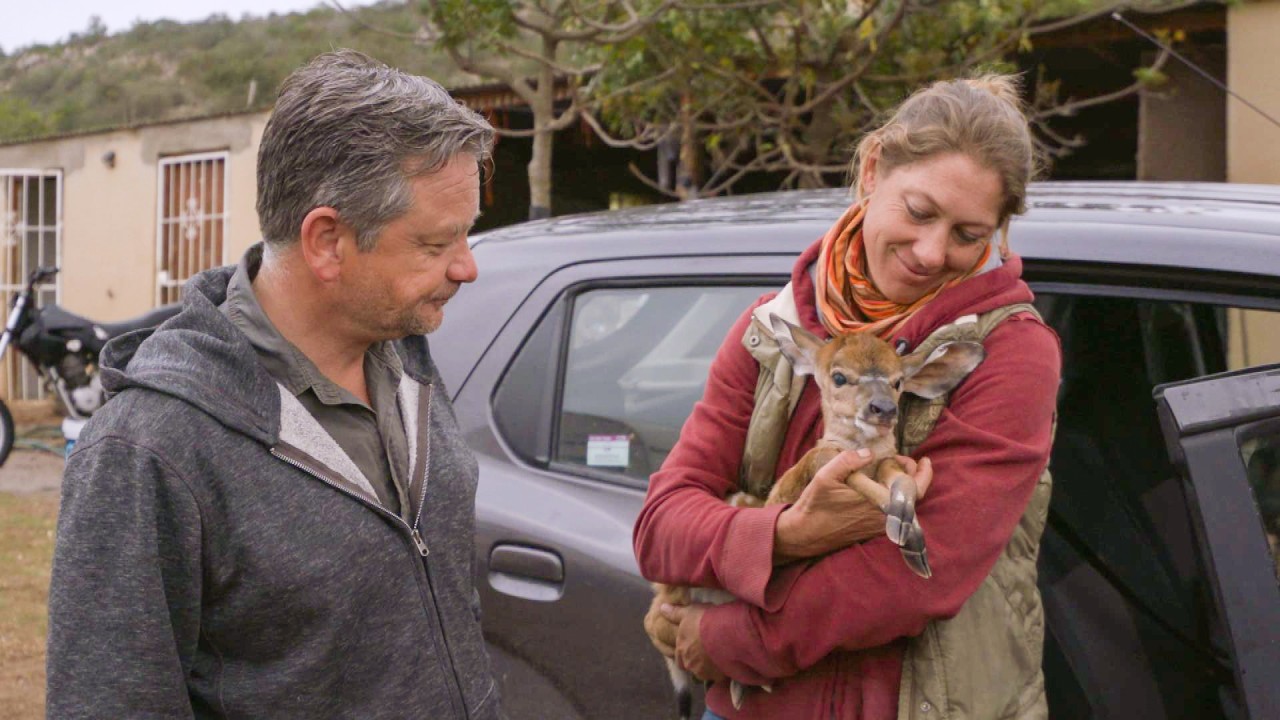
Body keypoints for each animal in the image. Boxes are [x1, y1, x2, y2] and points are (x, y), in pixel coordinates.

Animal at [650, 311, 988, 712]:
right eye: (839, 376)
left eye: (897, 381)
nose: (883, 410)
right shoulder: (812, 471)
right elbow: (840, 467)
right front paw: (907, 535)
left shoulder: (889, 463)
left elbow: (901, 478)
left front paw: (912, 538)